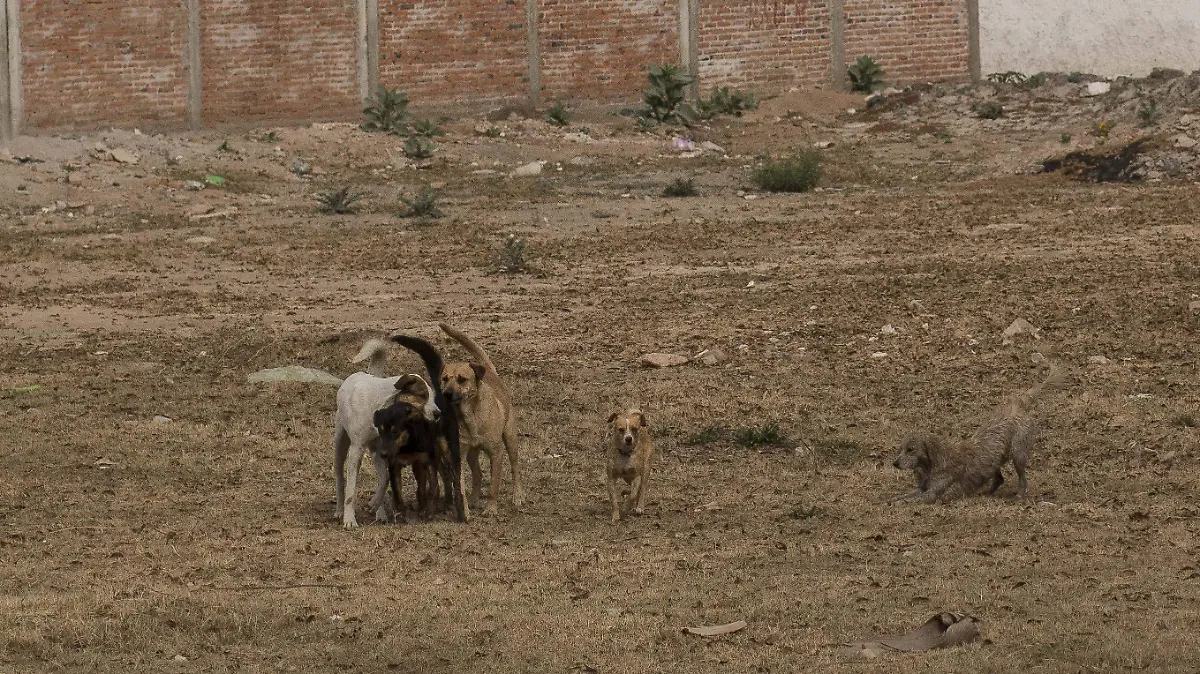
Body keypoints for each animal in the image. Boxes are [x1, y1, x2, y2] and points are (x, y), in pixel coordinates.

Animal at [331, 338, 439, 527]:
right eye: (423, 396)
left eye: (432, 397)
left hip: (376, 453)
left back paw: (379, 512)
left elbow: (385, 480)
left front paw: (374, 504)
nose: (439, 413)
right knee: (339, 476)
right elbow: (351, 489)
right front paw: (349, 519)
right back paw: (339, 510)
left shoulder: (383, 450)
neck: (382, 406)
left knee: (381, 478)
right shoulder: (356, 450)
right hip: (340, 443)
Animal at [436, 323, 520, 510]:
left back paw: (517, 497)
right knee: (478, 474)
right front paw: (465, 506)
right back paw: (474, 498)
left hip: (510, 438)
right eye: (444, 379)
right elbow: (461, 485)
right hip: (471, 454)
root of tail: (488, 370)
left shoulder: (497, 452)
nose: (446, 394)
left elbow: (494, 484)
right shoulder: (459, 453)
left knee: (515, 468)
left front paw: (491, 508)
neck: (470, 417)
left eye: (462, 379)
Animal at [892, 364, 1070, 501]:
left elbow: (911, 500)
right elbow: (904, 496)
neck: (932, 464)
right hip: (995, 460)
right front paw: (893, 499)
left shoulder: (932, 494)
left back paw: (1018, 496)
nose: (895, 463)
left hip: (1018, 454)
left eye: (911, 449)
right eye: (901, 449)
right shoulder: (921, 489)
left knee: (1022, 481)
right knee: (998, 479)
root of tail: (1015, 407)